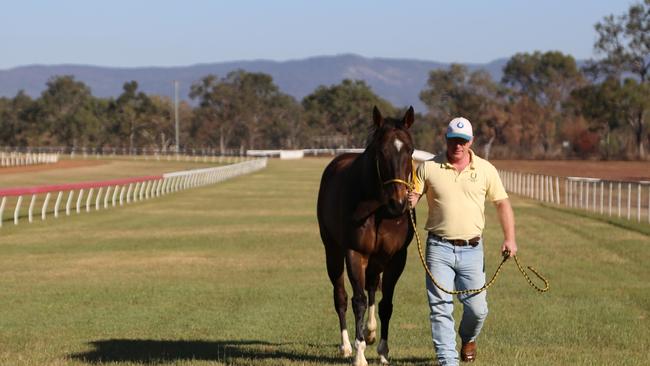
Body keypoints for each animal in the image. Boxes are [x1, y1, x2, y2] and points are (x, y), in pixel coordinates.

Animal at [316, 106, 416, 366]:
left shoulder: (396, 257)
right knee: (341, 296)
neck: (378, 209)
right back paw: (346, 346)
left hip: (377, 258)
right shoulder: (355, 253)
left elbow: (385, 303)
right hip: (332, 250)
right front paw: (359, 354)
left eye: (410, 150)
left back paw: (370, 332)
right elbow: (357, 300)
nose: (399, 203)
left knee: (372, 286)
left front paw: (382, 350)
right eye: (382, 151)